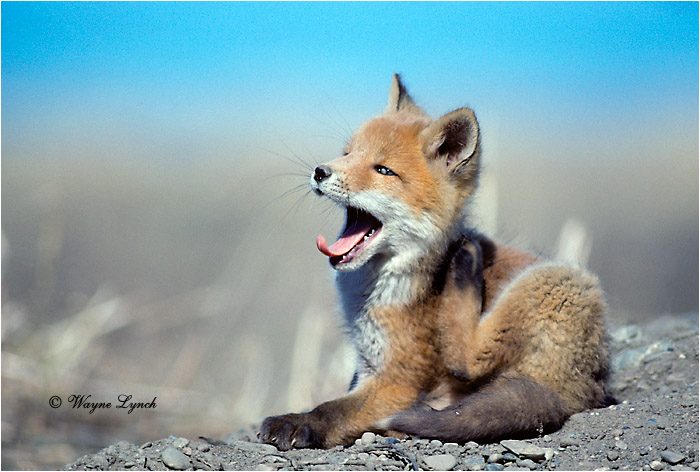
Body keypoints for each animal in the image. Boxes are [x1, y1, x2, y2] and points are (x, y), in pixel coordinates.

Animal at [259, 74, 610, 450]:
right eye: (348, 153)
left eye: (383, 170)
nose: (319, 171)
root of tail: (585, 388)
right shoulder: (367, 363)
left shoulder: (399, 379)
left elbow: (334, 410)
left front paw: (298, 423)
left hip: (552, 279)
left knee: (466, 360)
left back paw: (466, 264)